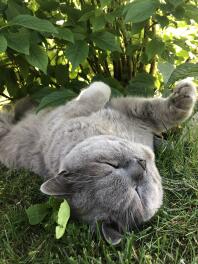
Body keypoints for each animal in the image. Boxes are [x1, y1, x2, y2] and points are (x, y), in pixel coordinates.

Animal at [0, 79, 196, 244]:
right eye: (137, 193)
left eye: (109, 165)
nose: (141, 165)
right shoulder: (65, 116)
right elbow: (102, 90)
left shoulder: (127, 111)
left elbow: (154, 111)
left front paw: (184, 96)